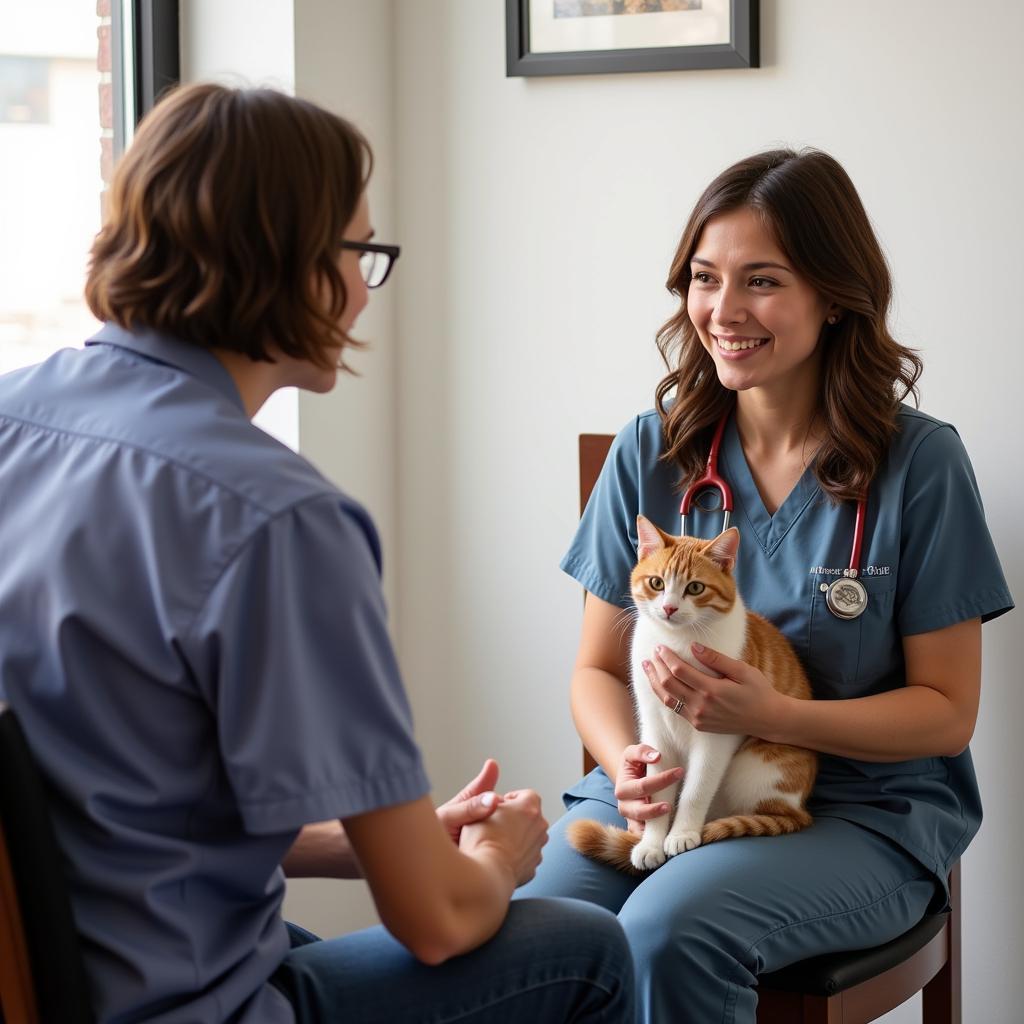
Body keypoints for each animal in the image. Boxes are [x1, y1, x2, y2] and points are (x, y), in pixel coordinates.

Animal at [569, 520, 815, 872]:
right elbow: (658, 793)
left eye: (695, 588)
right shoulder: (655, 733)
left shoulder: (716, 737)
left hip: (757, 769)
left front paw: (681, 834)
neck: (678, 642)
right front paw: (651, 842)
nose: (669, 607)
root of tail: (799, 809)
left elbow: (695, 790)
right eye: (657, 583)